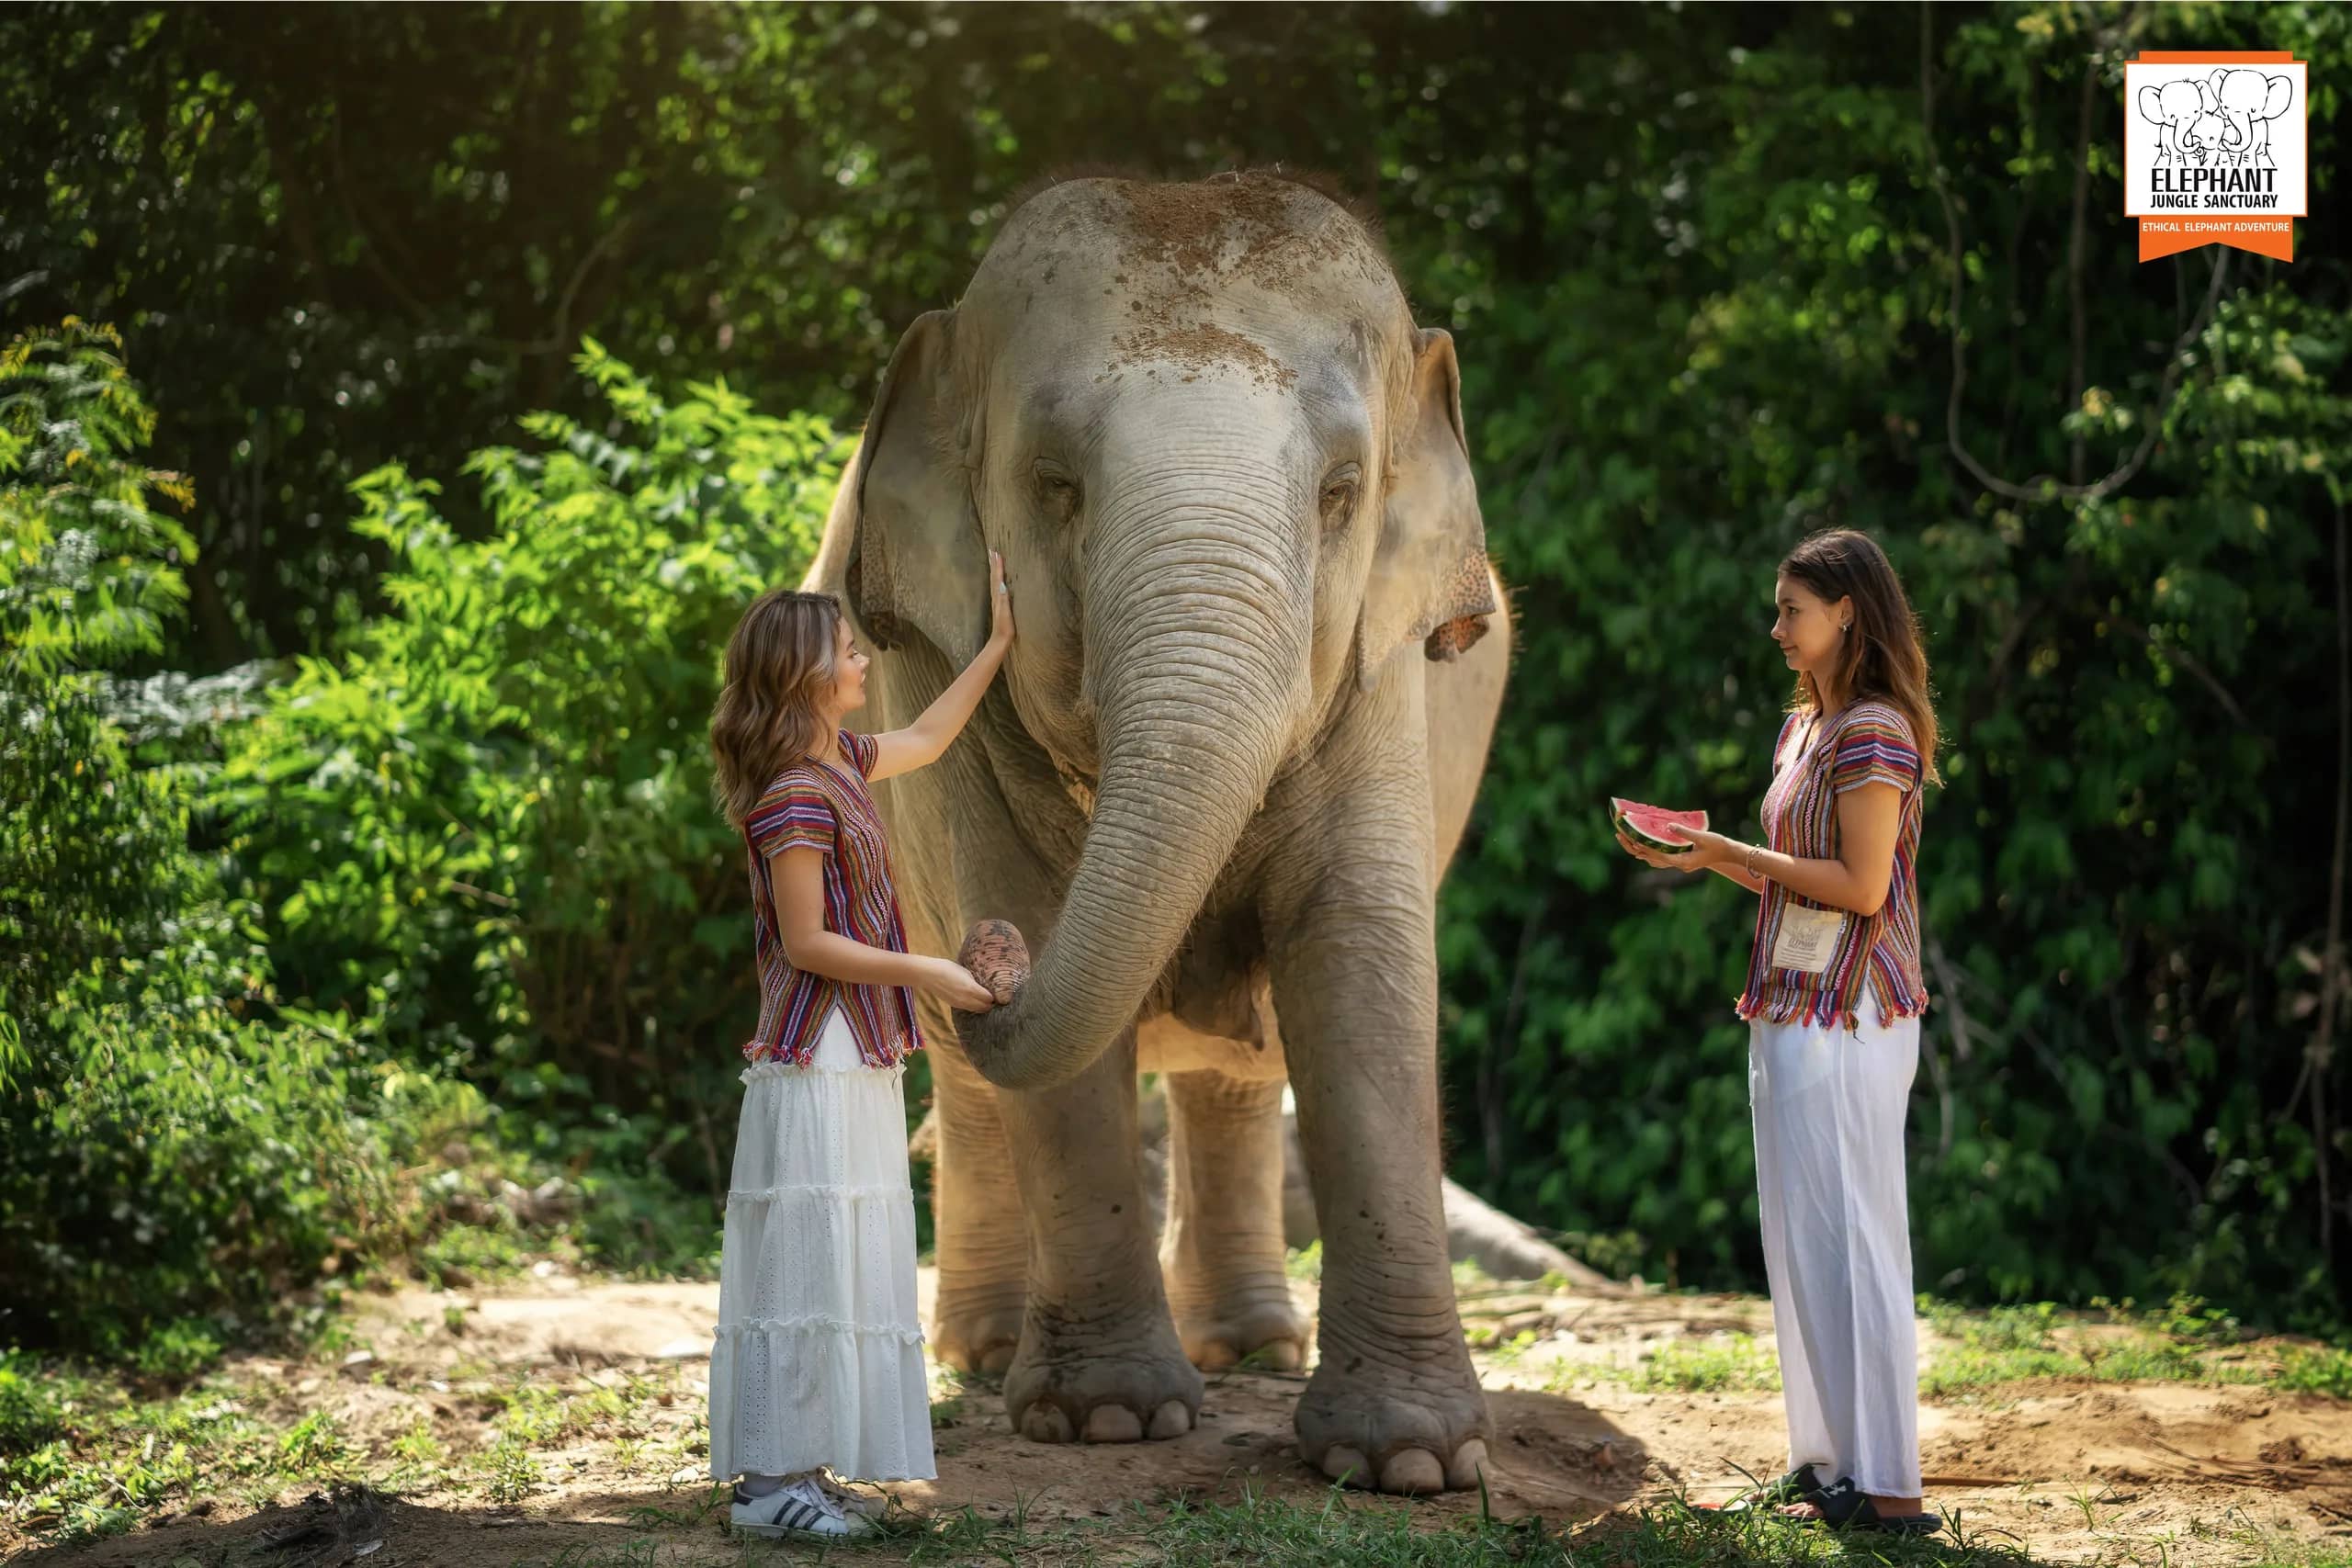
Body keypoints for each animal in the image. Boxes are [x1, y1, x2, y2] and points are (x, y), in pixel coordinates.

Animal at [797, 171, 1514, 1494]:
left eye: (1342, 491)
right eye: (1055, 485)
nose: (984, 961)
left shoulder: (1382, 678)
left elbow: (1358, 965)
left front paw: (1411, 1461)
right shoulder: (938, 687)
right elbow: (1043, 963)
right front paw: (1107, 1421)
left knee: (1239, 1071)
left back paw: (1254, 1349)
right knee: (975, 1080)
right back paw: (984, 1350)